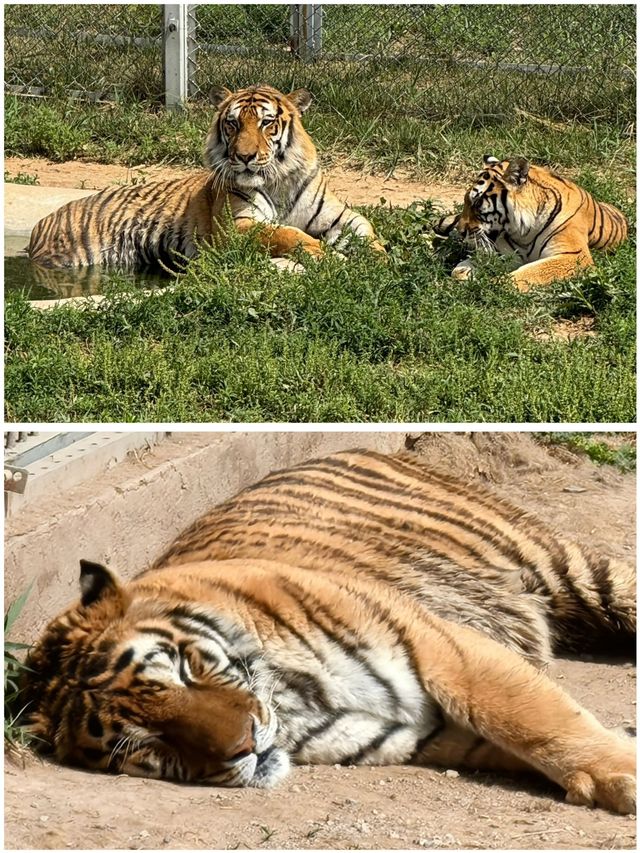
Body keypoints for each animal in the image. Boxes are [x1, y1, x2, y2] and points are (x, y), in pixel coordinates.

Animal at [21, 446, 636, 812]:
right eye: (147, 740)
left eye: (183, 670)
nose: (246, 746)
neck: (295, 705)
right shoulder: (416, 733)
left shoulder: (447, 649)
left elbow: (538, 720)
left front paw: (622, 773)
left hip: (569, 569)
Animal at [25, 83, 382, 272]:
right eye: (233, 123)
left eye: (267, 123)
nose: (245, 157)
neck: (277, 179)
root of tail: (40, 225)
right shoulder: (238, 226)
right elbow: (288, 234)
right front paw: (332, 257)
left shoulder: (338, 216)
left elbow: (366, 230)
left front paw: (379, 258)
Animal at [432, 151, 628, 288]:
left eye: (478, 202)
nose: (462, 231)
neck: (523, 232)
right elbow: (459, 269)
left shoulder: (575, 256)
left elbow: (532, 272)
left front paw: (496, 283)